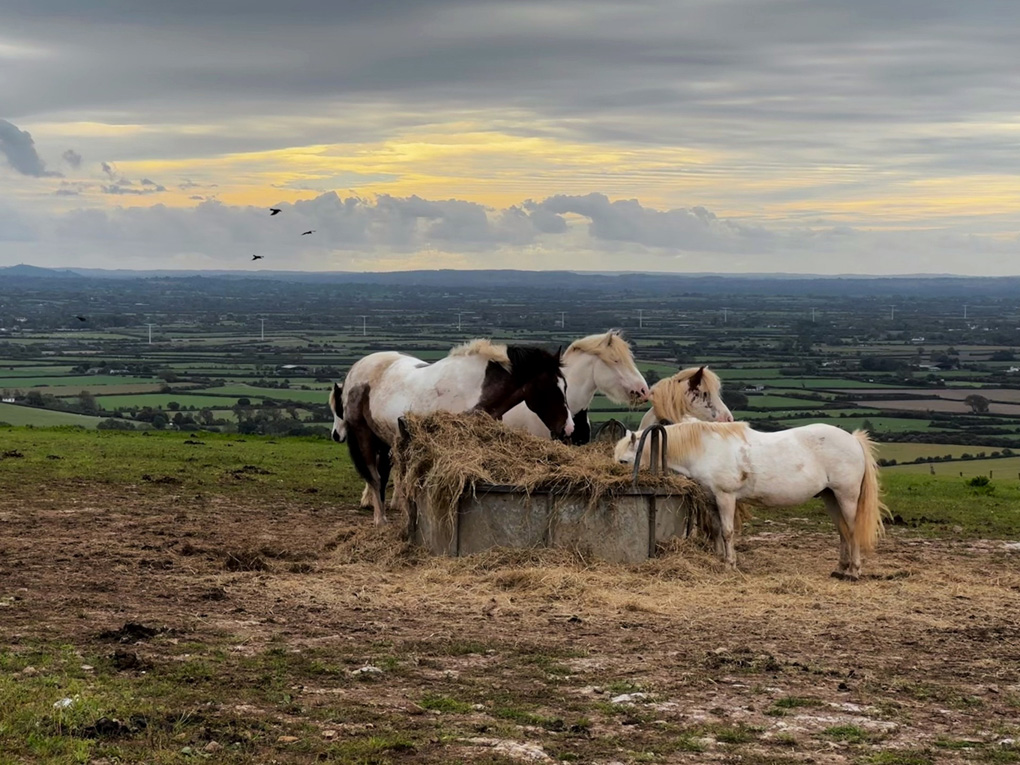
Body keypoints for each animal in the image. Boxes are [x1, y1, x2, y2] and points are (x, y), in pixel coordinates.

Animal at [334, 340, 575, 526]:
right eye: (553, 388)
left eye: (565, 386)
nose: (569, 428)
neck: (473, 390)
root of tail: (356, 369)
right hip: (364, 435)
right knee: (374, 477)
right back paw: (380, 521)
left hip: (385, 440)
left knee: (383, 476)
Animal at [612, 420, 885, 579]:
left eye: (624, 461)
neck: (704, 448)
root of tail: (853, 439)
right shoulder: (712, 499)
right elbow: (716, 530)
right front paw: (719, 559)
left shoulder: (726, 497)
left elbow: (727, 531)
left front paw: (729, 565)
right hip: (831, 497)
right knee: (842, 531)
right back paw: (840, 568)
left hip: (846, 496)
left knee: (852, 530)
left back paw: (854, 571)